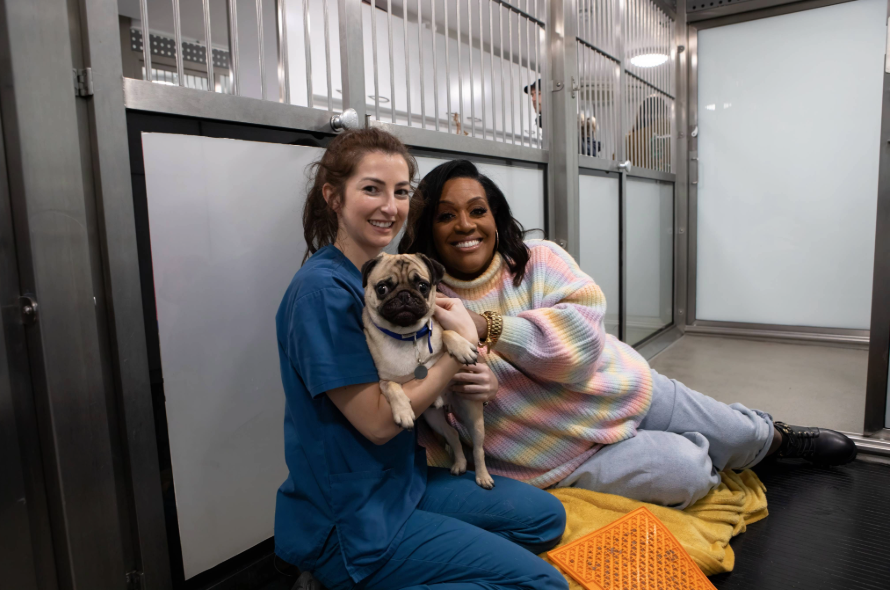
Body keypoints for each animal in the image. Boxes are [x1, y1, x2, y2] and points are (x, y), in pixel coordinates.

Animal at [362, 254, 496, 490]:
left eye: (423, 286)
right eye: (382, 288)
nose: (405, 295)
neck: (408, 337)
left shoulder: (440, 325)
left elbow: (448, 332)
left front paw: (462, 348)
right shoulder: (383, 381)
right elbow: (392, 387)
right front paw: (403, 412)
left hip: (472, 414)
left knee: (478, 448)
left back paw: (482, 476)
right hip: (433, 417)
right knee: (452, 434)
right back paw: (460, 464)